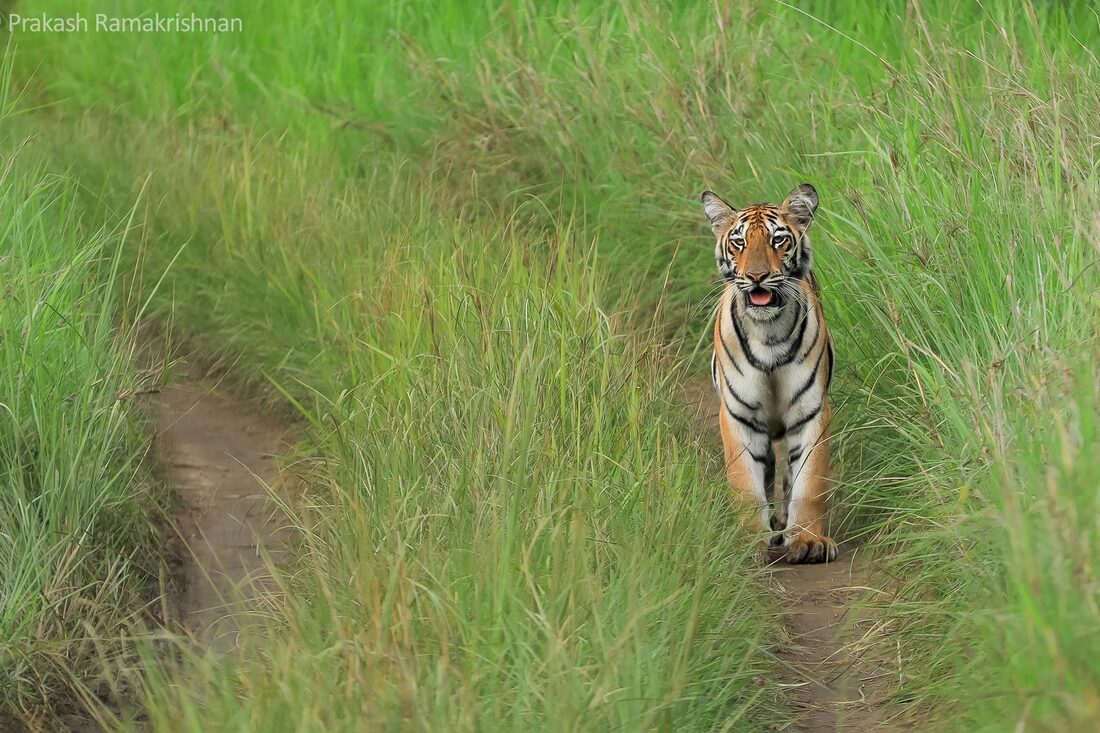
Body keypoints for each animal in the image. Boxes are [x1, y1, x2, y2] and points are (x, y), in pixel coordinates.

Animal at [701, 183, 837, 563]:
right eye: (739, 242)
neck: (769, 333)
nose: (757, 276)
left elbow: (809, 481)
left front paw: (808, 540)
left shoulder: (811, 411)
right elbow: (745, 484)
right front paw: (750, 541)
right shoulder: (738, 415)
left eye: (778, 240)